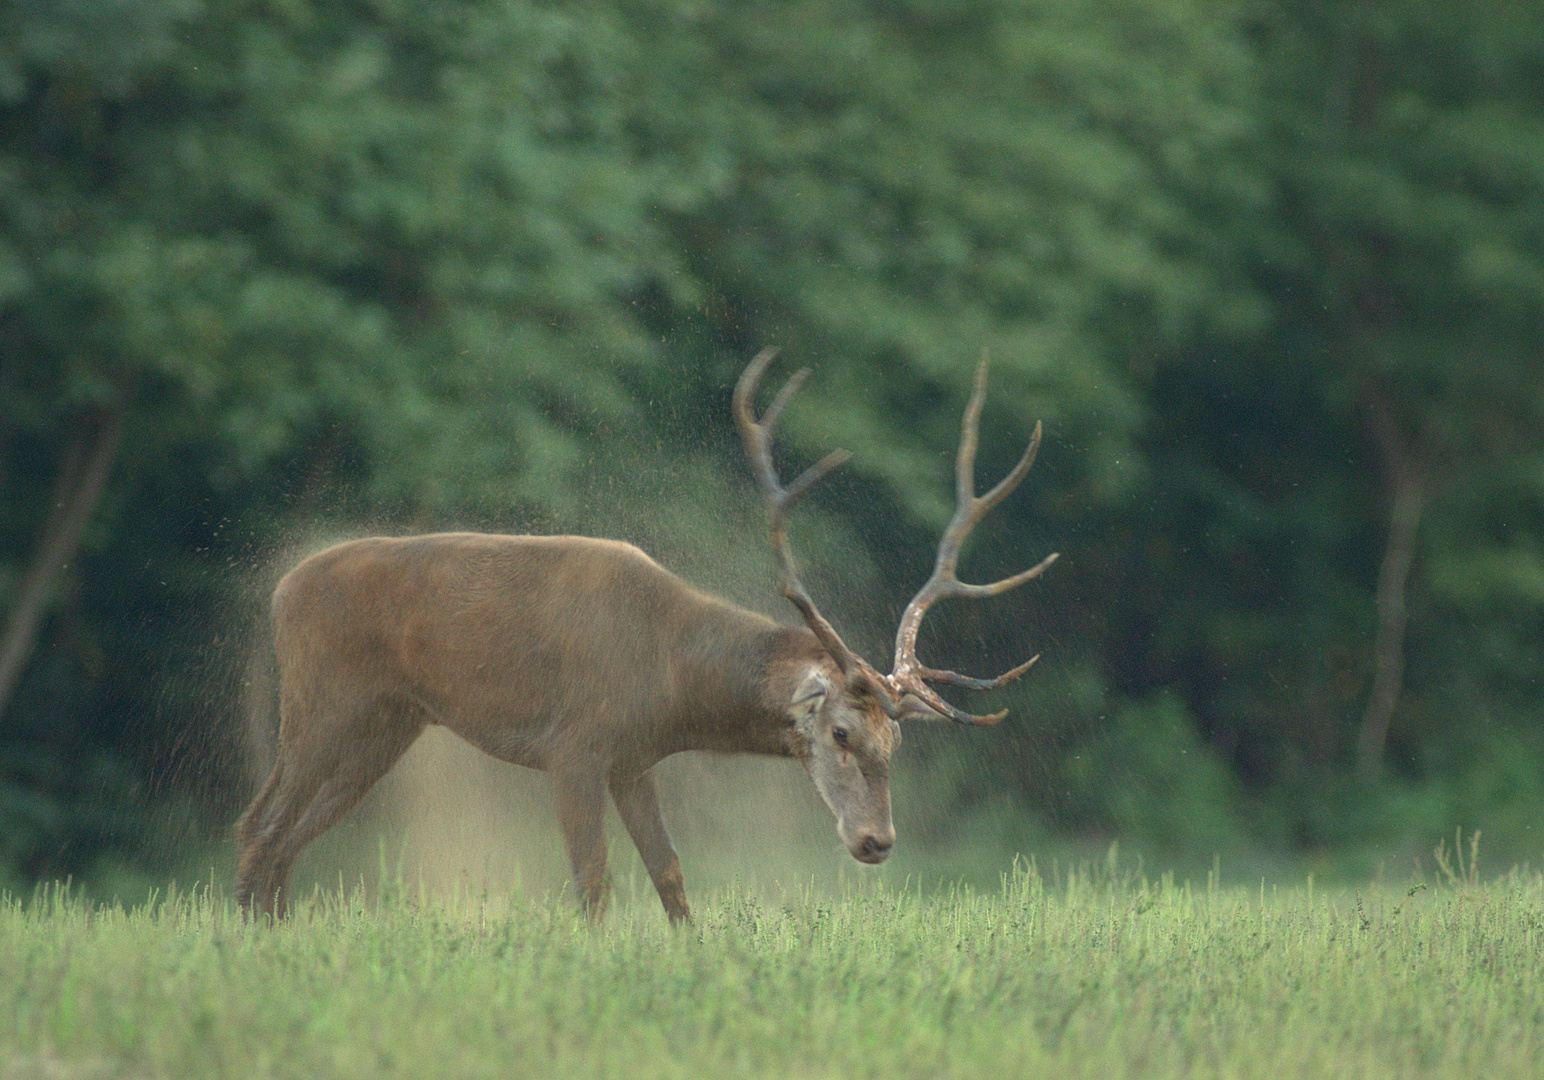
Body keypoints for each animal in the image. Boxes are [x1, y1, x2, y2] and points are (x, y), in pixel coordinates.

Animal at [237, 350, 1062, 927]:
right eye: (839, 733)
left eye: (897, 742)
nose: (877, 842)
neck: (669, 677)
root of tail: (278, 593)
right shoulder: (574, 745)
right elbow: (595, 882)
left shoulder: (634, 759)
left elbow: (669, 873)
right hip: (323, 700)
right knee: (260, 825)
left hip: (389, 724)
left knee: (285, 835)